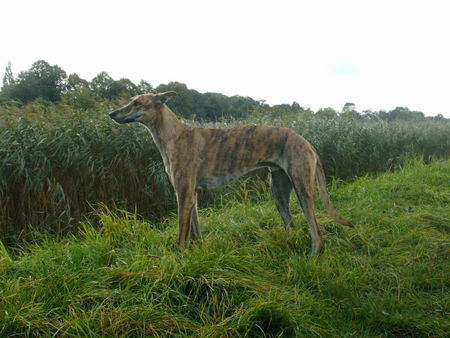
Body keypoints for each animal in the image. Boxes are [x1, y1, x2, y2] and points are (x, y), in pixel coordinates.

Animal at [108, 91, 352, 255]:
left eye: (137, 103)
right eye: (130, 100)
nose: (111, 114)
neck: (174, 135)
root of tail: (307, 142)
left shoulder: (183, 194)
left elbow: (181, 237)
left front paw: (179, 261)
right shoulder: (191, 196)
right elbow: (195, 231)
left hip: (302, 190)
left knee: (317, 233)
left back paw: (313, 257)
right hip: (278, 191)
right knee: (293, 226)